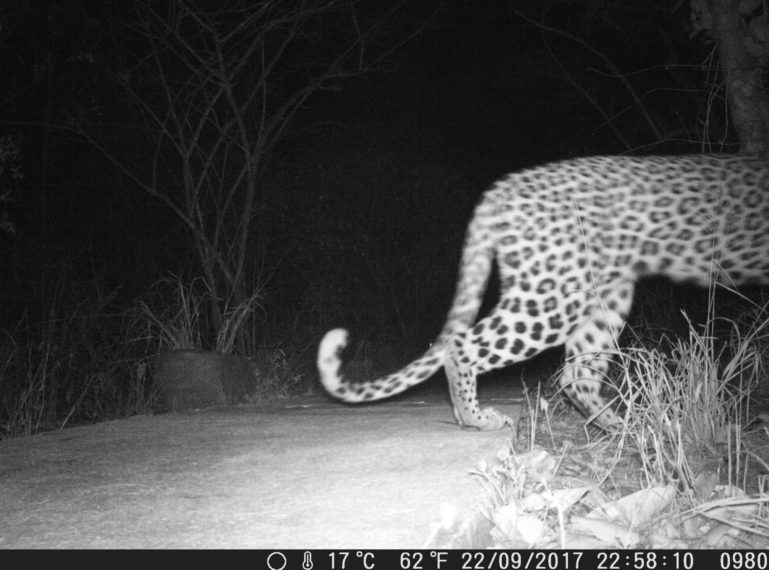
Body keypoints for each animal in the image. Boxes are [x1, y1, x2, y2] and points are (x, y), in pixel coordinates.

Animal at [316, 153, 764, 428]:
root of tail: (503, 185)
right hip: (549, 295)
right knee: (463, 347)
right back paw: (478, 419)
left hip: (605, 295)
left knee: (576, 373)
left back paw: (626, 428)